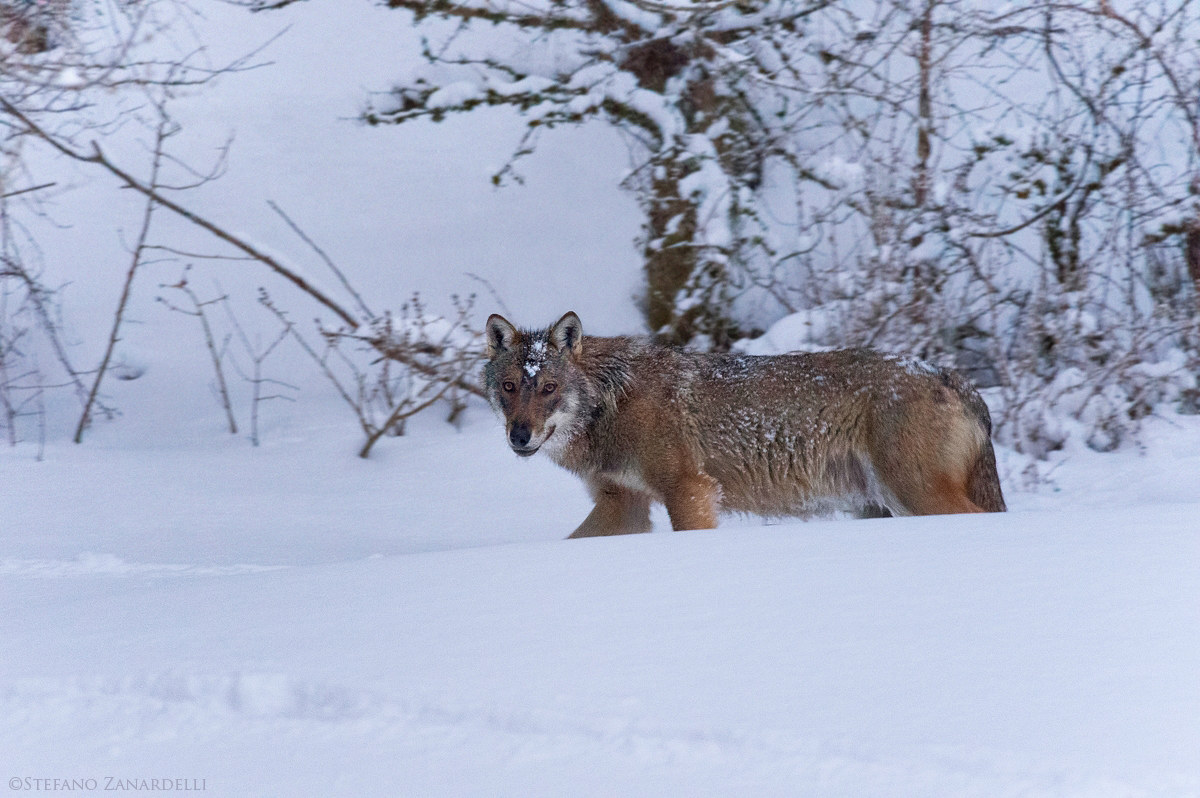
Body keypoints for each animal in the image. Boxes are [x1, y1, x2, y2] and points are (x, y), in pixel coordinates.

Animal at [482, 311, 1006, 537]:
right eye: (509, 387)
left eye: (548, 388)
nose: (519, 436)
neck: (613, 401)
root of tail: (956, 378)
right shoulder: (623, 506)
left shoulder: (689, 490)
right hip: (876, 507)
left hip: (915, 497)